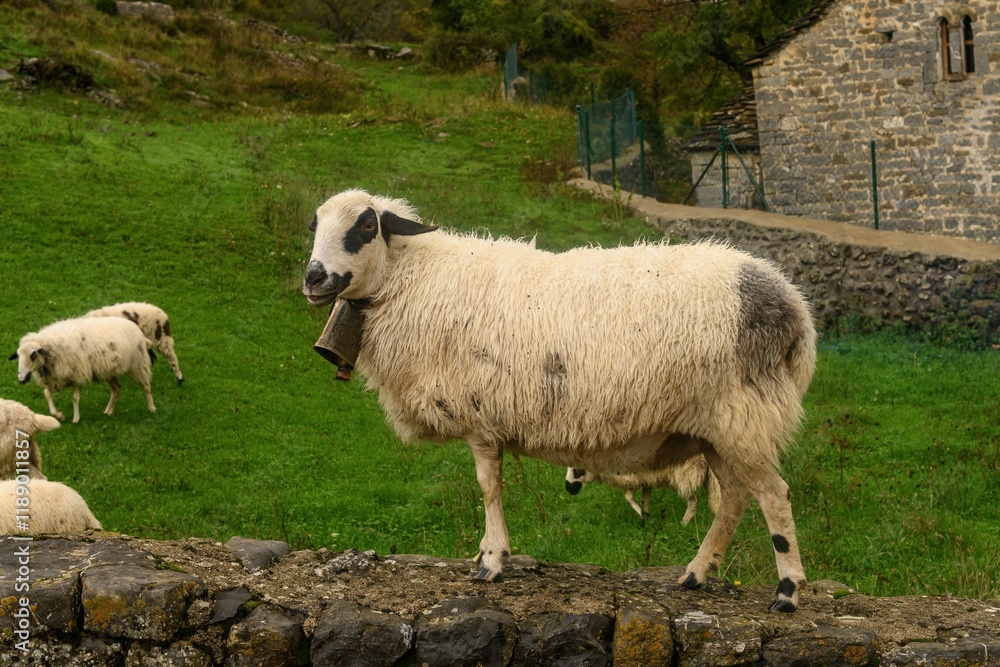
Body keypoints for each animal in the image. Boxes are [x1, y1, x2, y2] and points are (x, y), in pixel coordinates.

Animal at [9, 317, 157, 424]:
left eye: (33, 355)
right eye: (18, 356)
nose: (21, 379)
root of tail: (136, 328)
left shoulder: (78, 374)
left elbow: (75, 398)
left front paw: (75, 419)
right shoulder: (55, 377)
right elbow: (46, 394)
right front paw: (58, 415)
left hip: (138, 364)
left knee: (146, 386)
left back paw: (151, 408)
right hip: (108, 372)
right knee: (117, 389)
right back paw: (108, 412)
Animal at [565, 452, 721, 524]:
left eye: (577, 470)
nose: (568, 489)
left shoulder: (632, 476)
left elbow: (628, 497)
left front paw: (642, 515)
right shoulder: (646, 479)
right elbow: (645, 499)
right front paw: (646, 516)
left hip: (684, 474)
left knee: (694, 502)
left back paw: (683, 524)